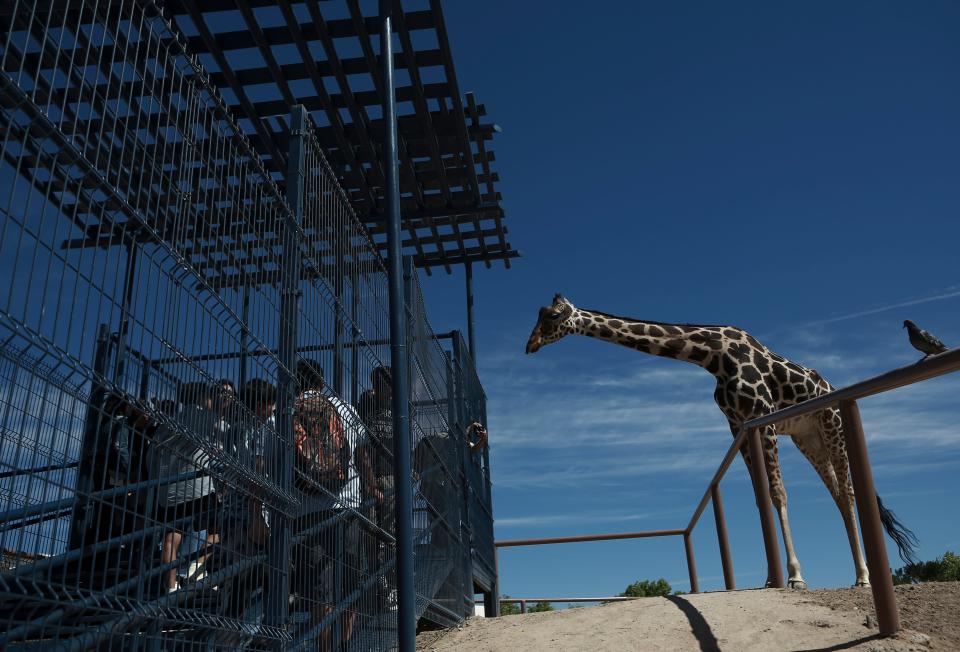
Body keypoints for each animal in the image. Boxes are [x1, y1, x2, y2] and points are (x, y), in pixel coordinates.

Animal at [528, 292, 920, 588]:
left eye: (551, 317)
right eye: (540, 315)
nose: (529, 345)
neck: (712, 355)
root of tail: (833, 391)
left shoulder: (762, 417)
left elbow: (778, 493)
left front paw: (795, 577)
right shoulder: (739, 425)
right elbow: (761, 499)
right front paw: (769, 578)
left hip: (831, 426)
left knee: (849, 493)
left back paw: (865, 577)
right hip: (808, 438)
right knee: (839, 496)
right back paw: (858, 574)